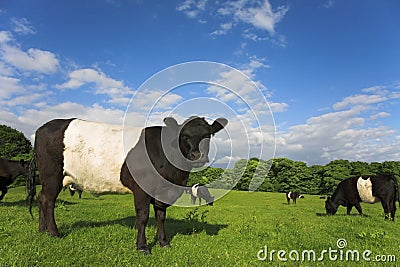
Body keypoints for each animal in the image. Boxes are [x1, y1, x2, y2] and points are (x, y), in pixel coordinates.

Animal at [27, 116, 228, 253]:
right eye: (184, 136)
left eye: (208, 135)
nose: (197, 156)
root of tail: (43, 127)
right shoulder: (142, 189)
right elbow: (143, 216)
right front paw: (142, 246)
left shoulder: (162, 191)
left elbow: (161, 216)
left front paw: (163, 242)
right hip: (52, 175)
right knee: (48, 200)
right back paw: (54, 232)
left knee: (41, 198)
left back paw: (42, 230)